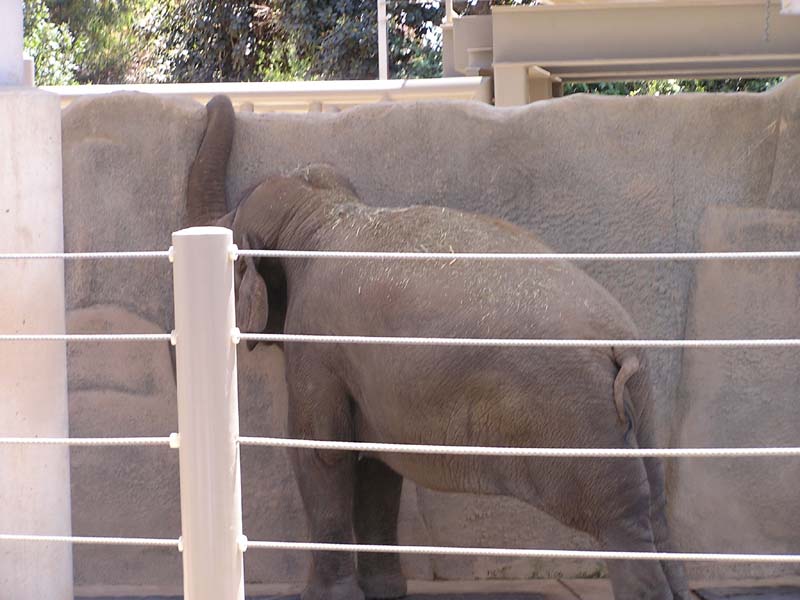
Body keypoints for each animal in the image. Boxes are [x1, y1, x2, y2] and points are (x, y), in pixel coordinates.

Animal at [185, 95, 690, 600]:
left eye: (233, 232)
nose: (213, 102)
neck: (322, 213)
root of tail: (620, 346)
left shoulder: (315, 342)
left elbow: (320, 451)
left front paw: (327, 598)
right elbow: (376, 464)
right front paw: (385, 592)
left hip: (579, 424)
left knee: (621, 523)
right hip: (639, 409)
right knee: (657, 510)